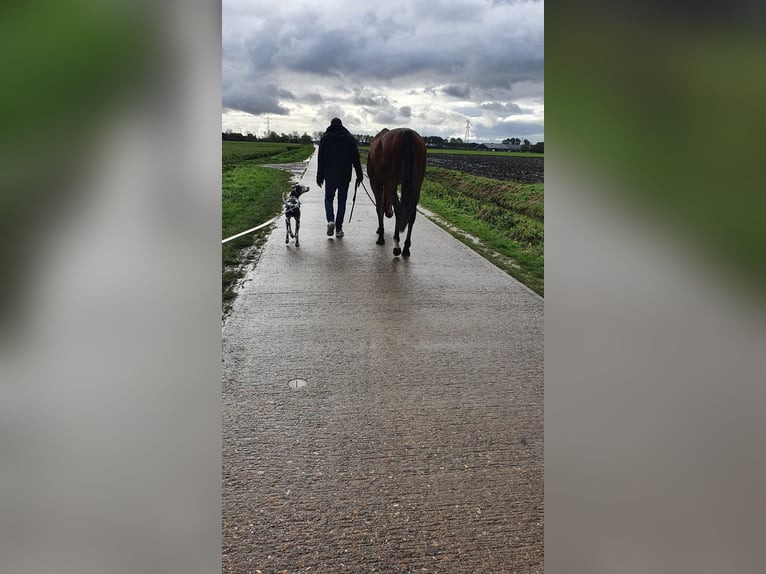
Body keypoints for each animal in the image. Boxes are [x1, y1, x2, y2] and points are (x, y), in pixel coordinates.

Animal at [364, 130, 426, 258]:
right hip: (416, 186)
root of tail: (407, 133)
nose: (389, 213)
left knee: (398, 210)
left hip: (391, 184)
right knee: (411, 214)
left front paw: (381, 235)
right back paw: (406, 248)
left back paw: (396, 245)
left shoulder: (376, 183)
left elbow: (379, 207)